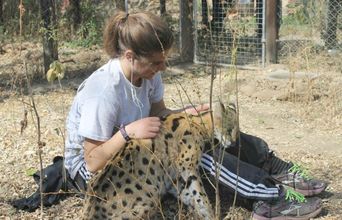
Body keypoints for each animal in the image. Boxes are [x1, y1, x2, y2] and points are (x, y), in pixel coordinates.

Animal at [83, 102, 238, 219]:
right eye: (230, 129)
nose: (234, 143)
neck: (198, 122)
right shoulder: (186, 165)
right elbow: (199, 192)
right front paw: (210, 213)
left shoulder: (173, 175)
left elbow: (187, 192)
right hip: (151, 197)